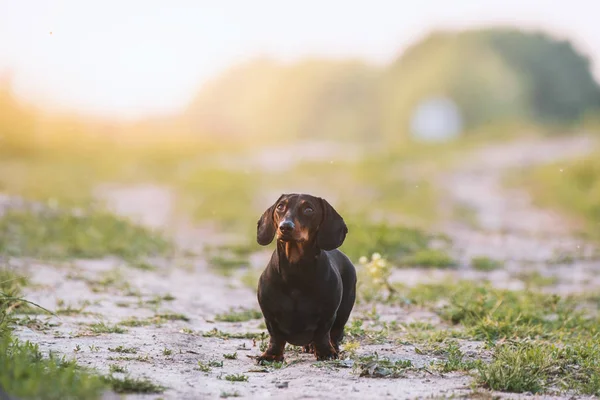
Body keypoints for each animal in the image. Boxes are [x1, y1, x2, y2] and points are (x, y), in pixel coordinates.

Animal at [254, 194, 356, 362]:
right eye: (280, 207)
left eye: (309, 209)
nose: (285, 227)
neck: (295, 272)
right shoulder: (270, 316)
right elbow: (276, 337)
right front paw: (271, 355)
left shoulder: (327, 315)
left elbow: (322, 334)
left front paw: (326, 352)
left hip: (344, 312)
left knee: (335, 335)